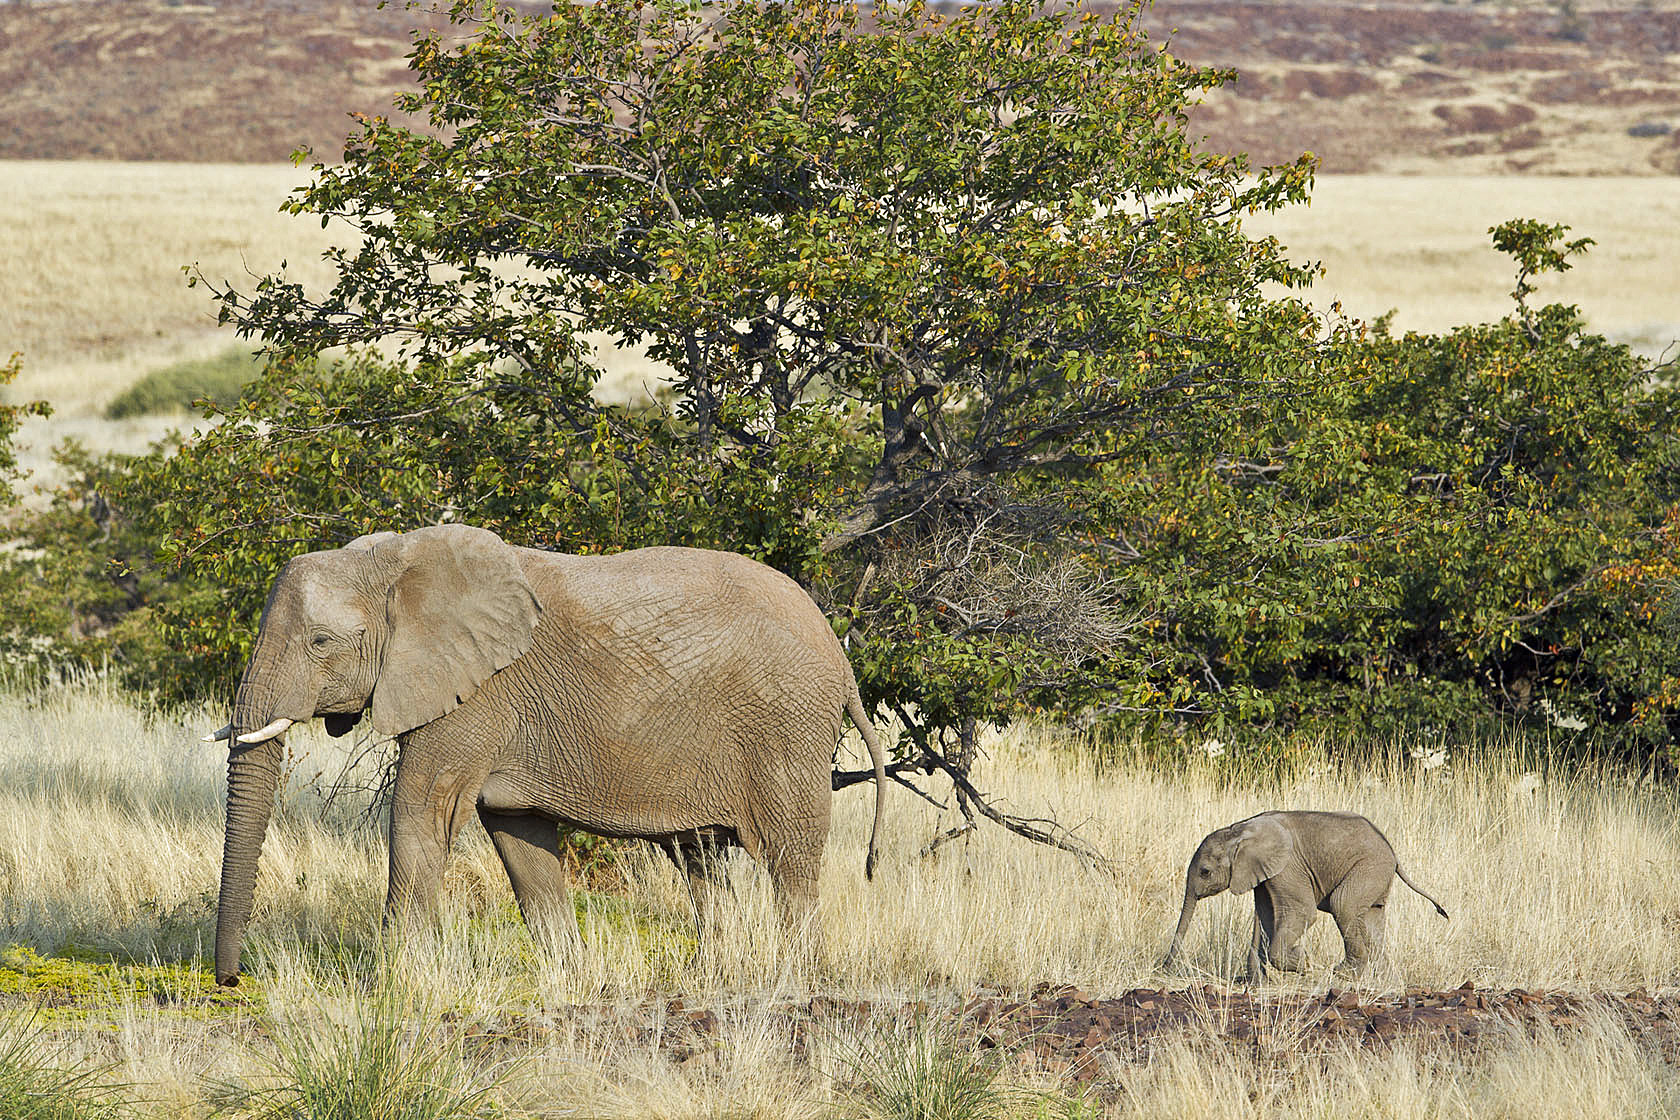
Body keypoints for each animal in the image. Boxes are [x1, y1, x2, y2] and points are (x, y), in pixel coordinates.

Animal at [203, 523, 888, 986]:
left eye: (321, 642)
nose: (231, 980)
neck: (398, 561)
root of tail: (842, 657)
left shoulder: (475, 695)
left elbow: (422, 816)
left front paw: (392, 985)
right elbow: (518, 837)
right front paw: (570, 979)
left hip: (785, 731)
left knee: (789, 860)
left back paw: (796, 977)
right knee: (703, 864)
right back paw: (717, 972)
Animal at [1161, 811, 1448, 979]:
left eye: (1205, 872)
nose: (1164, 969)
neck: (1239, 830)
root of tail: (1393, 853)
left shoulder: (1287, 866)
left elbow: (1303, 913)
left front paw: (1304, 963)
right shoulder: (1263, 873)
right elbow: (1264, 918)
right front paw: (1257, 983)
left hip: (1369, 867)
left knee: (1343, 906)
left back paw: (1343, 974)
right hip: (1375, 874)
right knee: (1371, 920)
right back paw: (1384, 981)